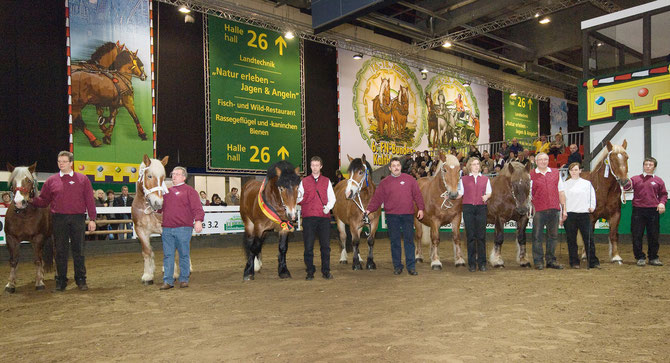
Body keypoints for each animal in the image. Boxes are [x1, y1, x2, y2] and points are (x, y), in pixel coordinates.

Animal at [3, 164, 53, 294]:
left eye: (29, 180)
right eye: (12, 181)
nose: (19, 202)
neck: (24, 215)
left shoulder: (38, 238)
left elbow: (37, 260)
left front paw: (39, 283)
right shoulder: (11, 238)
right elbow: (14, 261)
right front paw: (10, 284)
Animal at [131, 155, 169, 286]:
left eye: (162, 178)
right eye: (149, 176)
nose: (158, 203)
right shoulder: (140, 231)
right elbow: (147, 251)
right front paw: (148, 275)